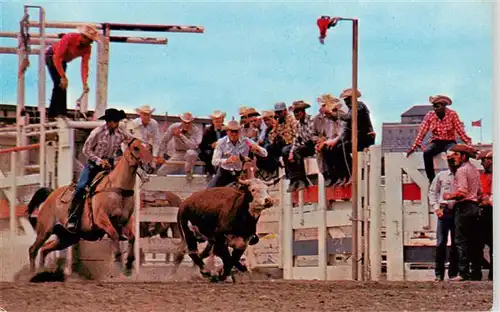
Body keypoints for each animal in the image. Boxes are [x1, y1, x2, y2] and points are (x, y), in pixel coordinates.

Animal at [25, 138, 153, 276]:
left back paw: (41, 272)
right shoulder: (101, 218)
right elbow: (114, 234)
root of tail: (51, 195)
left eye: (149, 148)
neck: (118, 189)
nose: (150, 166)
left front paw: (129, 264)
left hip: (67, 238)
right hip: (45, 230)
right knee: (33, 249)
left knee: (44, 249)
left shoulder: (125, 221)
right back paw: (31, 273)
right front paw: (118, 259)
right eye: (136, 148)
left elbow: (132, 238)